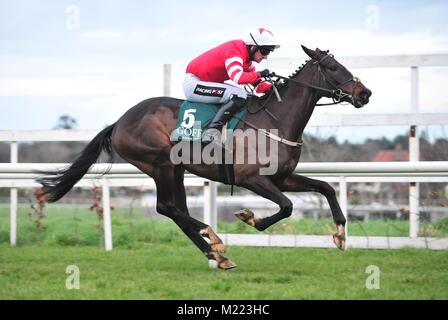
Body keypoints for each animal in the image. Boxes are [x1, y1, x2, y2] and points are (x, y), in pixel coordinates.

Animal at [37, 46, 372, 268]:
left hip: (176, 169)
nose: (365, 93)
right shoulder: (251, 178)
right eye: (333, 67)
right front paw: (250, 217)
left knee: (175, 210)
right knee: (167, 207)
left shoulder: (282, 177)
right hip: (161, 162)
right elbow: (287, 207)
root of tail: (119, 122)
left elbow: (325, 188)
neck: (275, 119)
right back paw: (213, 237)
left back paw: (215, 253)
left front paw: (341, 234)